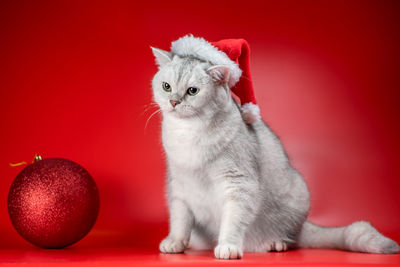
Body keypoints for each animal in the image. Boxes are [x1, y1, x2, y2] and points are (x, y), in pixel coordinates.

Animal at [149, 35, 396, 260]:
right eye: (166, 86)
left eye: (192, 91)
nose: (174, 102)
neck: (187, 134)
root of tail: (303, 226)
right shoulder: (178, 187)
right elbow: (180, 221)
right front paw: (175, 242)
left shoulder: (239, 184)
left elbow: (232, 221)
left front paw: (228, 246)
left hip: (296, 196)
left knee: (289, 239)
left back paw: (276, 243)